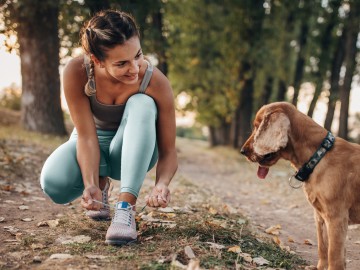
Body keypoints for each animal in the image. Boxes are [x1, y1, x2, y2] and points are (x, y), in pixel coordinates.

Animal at [239, 102, 360, 270]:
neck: (319, 156)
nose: (242, 151)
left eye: (257, 126)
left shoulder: (336, 217)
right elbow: (323, 247)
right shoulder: (320, 216)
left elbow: (334, 256)